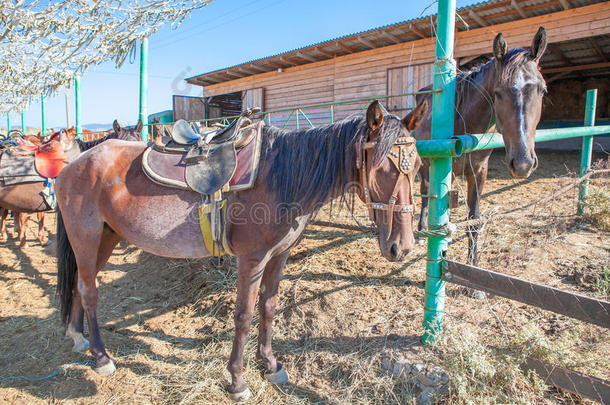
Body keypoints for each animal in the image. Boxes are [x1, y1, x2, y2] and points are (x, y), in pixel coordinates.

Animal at [55, 100, 428, 398]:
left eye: (417, 168)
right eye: (382, 167)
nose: (402, 246)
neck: (280, 176)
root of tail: (73, 165)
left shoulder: (279, 256)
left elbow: (269, 307)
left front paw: (271, 364)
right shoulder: (252, 259)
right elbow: (244, 315)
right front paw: (237, 380)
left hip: (106, 238)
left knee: (78, 284)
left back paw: (77, 337)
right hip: (86, 238)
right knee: (89, 291)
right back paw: (101, 357)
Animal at [414, 26, 548, 266]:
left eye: (542, 90)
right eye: (498, 93)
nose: (522, 163)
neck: (464, 120)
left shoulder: (478, 171)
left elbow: (473, 220)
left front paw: (472, 265)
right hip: (426, 166)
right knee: (425, 194)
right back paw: (421, 231)